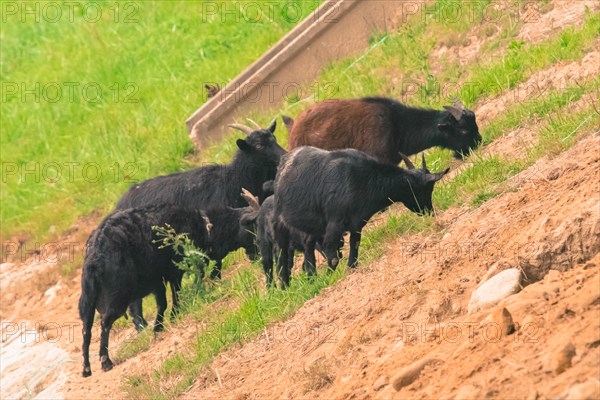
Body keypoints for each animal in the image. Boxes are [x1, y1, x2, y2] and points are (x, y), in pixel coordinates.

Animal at [78, 205, 211, 376]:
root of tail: (95, 258)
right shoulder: (171, 273)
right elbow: (171, 299)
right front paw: (167, 321)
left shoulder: (157, 282)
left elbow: (161, 304)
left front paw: (159, 327)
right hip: (117, 300)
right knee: (105, 323)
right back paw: (105, 361)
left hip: (88, 302)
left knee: (86, 330)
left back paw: (86, 368)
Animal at [274, 145, 448, 286]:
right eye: (427, 188)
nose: (429, 211)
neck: (365, 180)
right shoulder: (335, 224)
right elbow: (333, 256)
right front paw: (329, 277)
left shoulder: (357, 224)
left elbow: (354, 248)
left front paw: (350, 269)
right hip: (282, 227)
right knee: (284, 260)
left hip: (313, 227)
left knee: (308, 245)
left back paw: (311, 276)